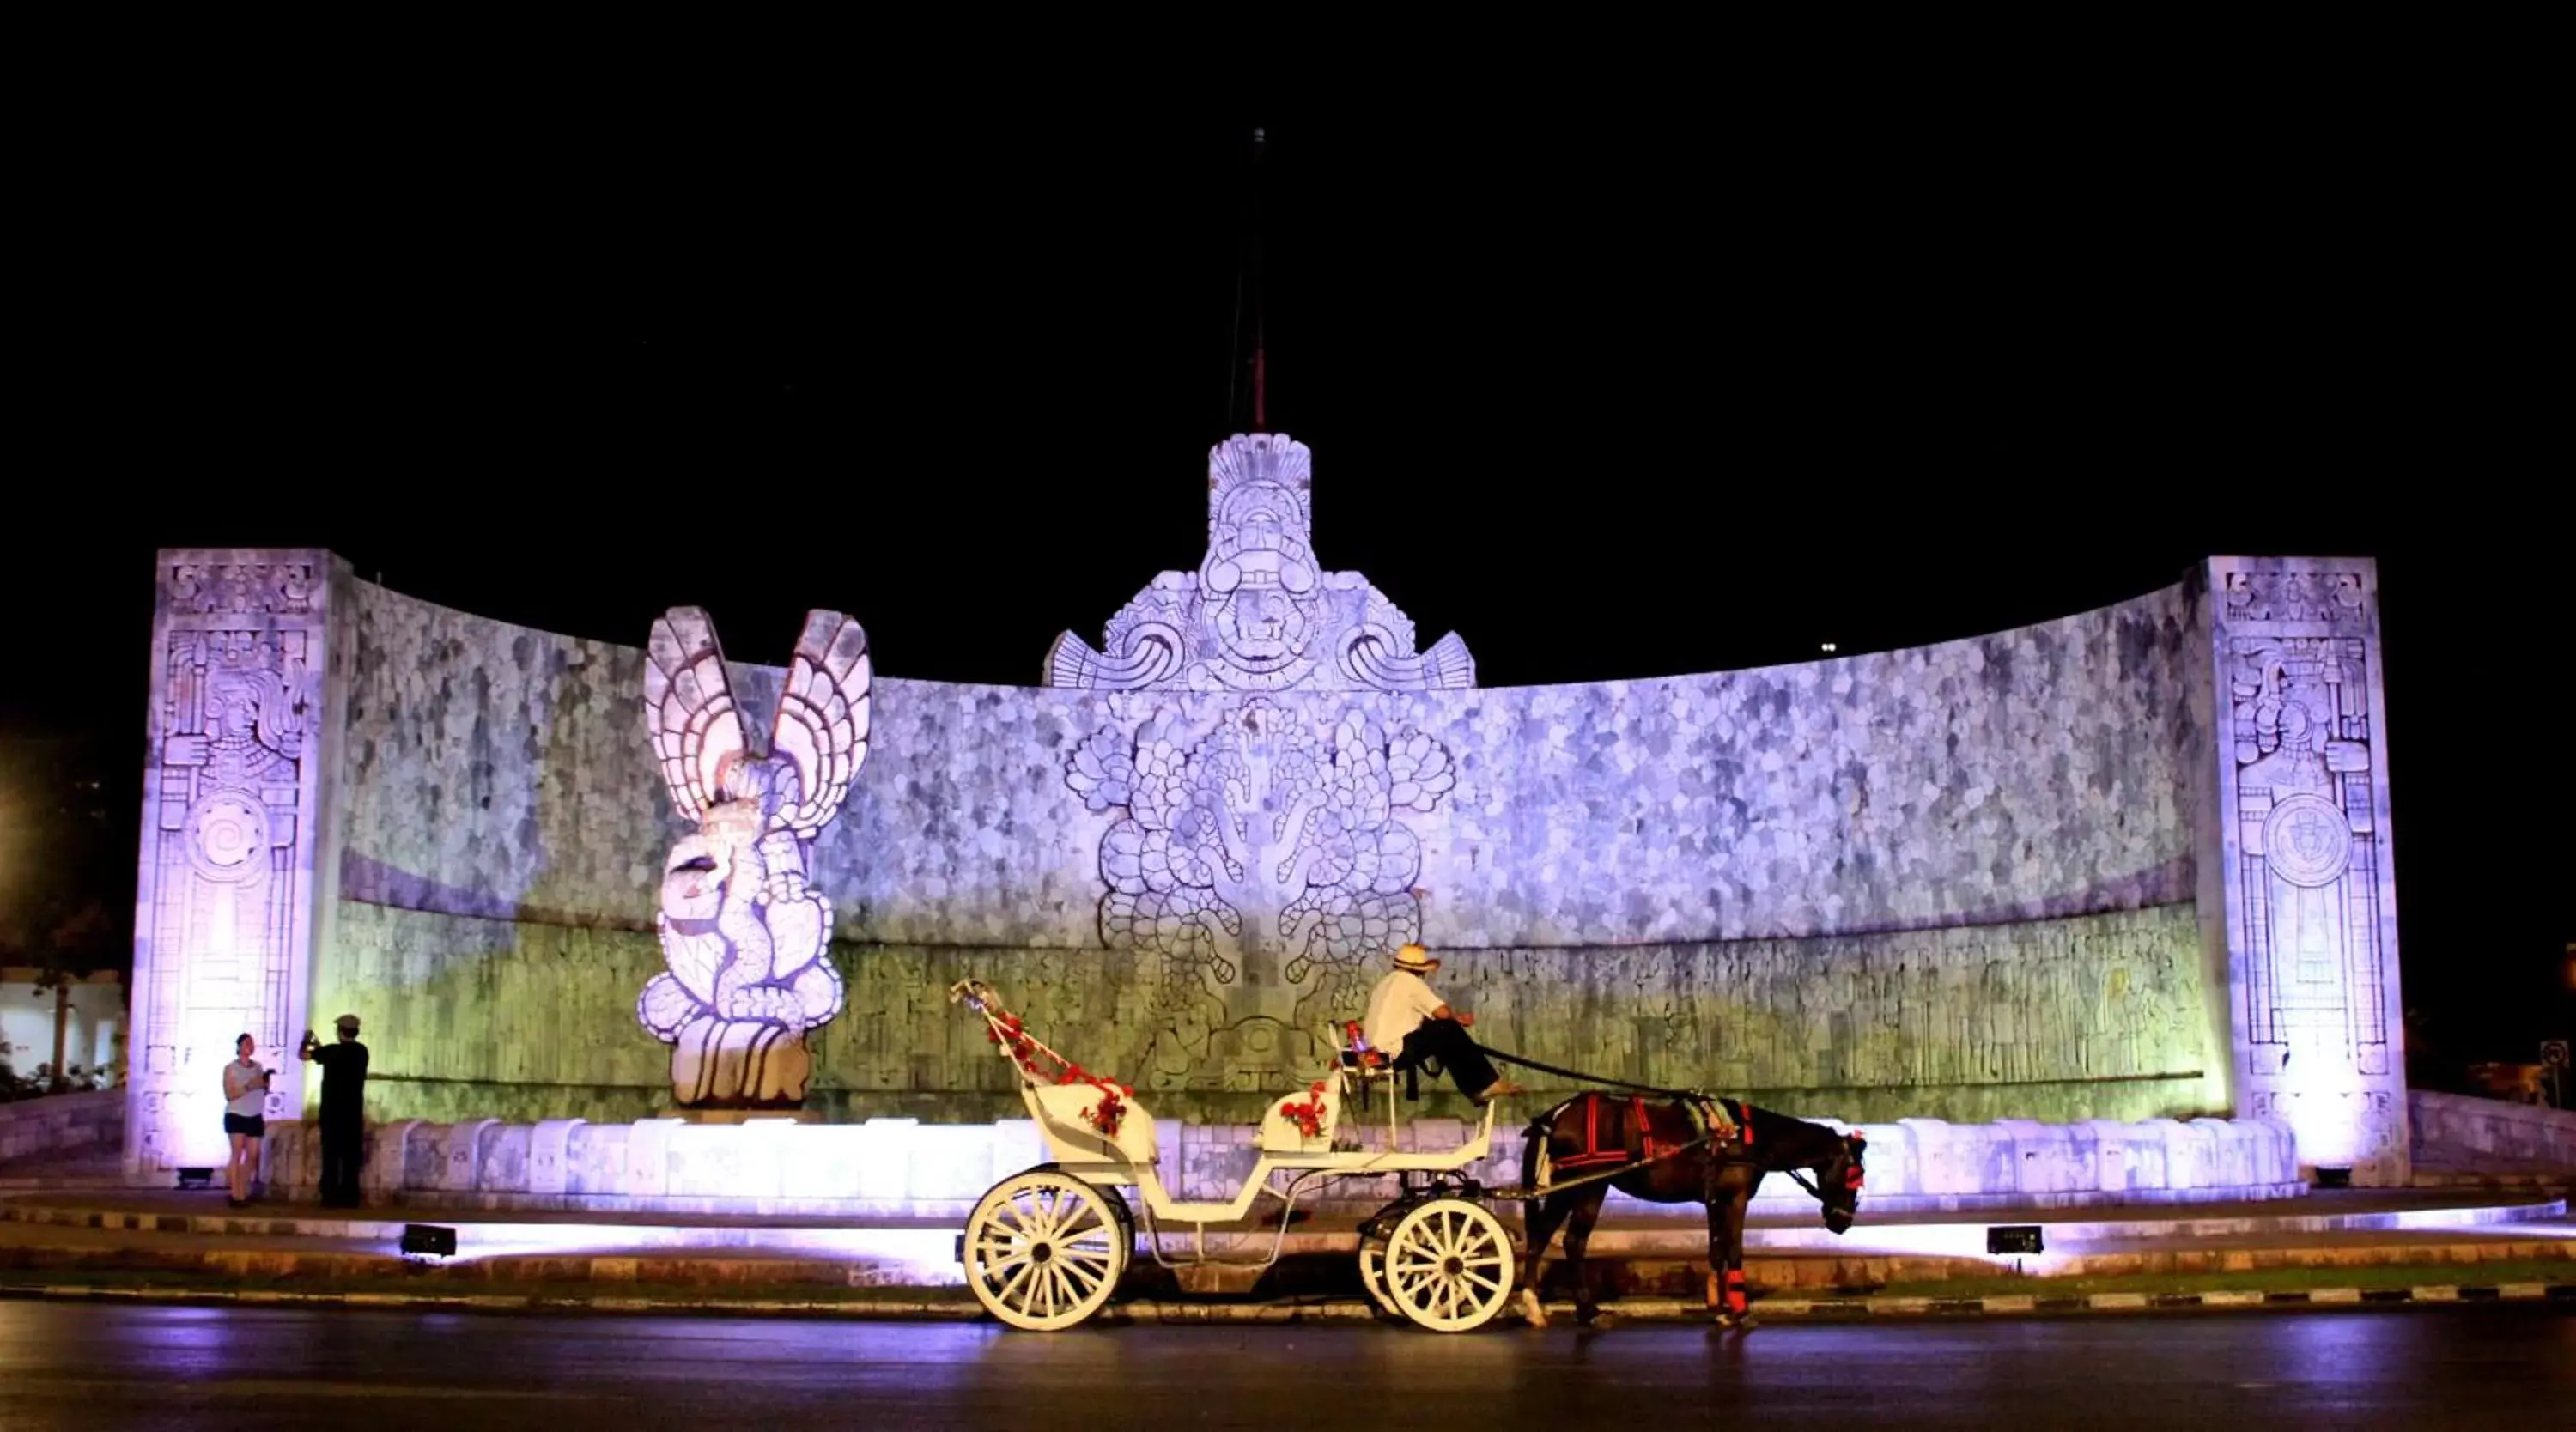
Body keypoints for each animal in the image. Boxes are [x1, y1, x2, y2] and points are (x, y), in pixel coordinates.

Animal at [1504, 1097, 1875, 1329]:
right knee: (1570, 1240)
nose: (1843, 1221)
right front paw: (1741, 1311)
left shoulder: (1715, 1200)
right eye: (1855, 1173)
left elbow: (1716, 1251)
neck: (1745, 1136)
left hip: (1570, 1187)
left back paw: (1541, 1307)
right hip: (1587, 1185)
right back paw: (1581, 1310)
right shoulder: (1736, 1198)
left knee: (1546, 1237)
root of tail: (1555, 1115)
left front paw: (1720, 1309)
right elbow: (1734, 1249)